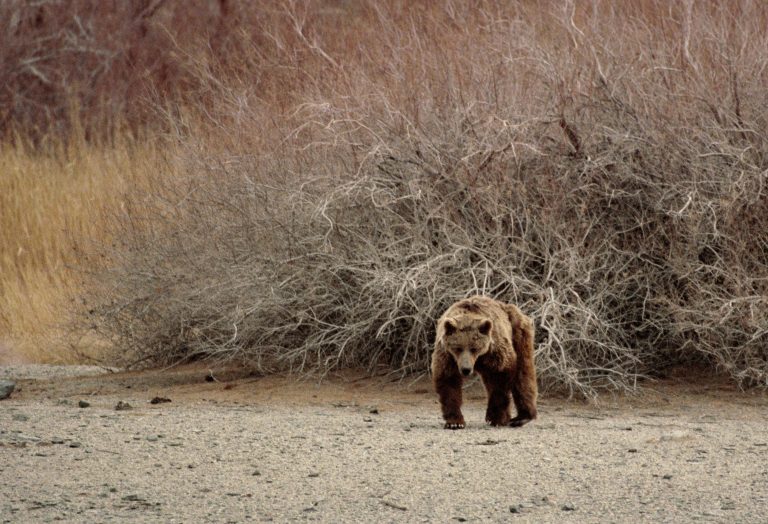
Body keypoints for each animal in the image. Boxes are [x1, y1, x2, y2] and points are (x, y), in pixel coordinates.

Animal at [431, 295, 537, 429]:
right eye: (458, 348)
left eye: (474, 348)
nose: (466, 369)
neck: (478, 358)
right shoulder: (448, 355)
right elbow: (449, 381)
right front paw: (455, 422)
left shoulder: (495, 350)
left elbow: (500, 378)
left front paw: (496, 418)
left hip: (518, 332)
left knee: (523, 372)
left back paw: (521, 418)